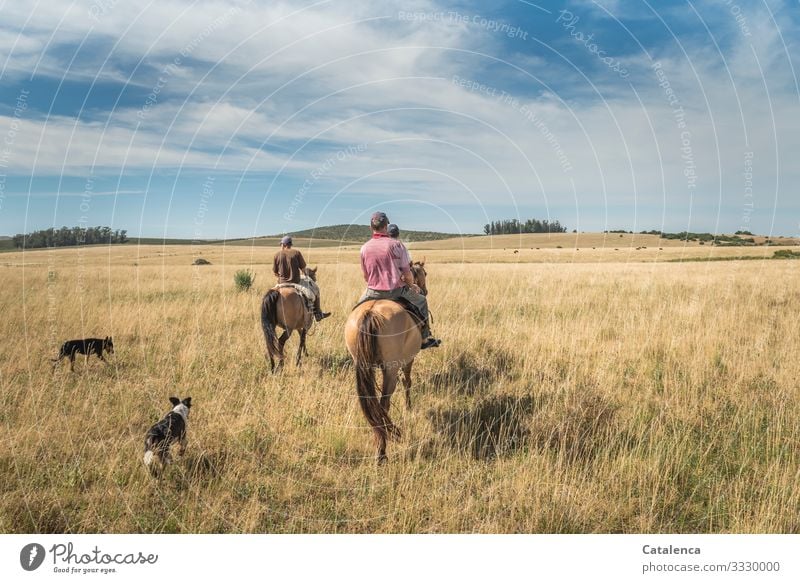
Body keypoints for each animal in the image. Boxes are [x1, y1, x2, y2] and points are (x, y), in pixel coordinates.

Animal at [346, 260, 432, 466]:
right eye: (424, 273)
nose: (424, 290)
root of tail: (370, 313)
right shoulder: (408, 359)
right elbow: (407, 381)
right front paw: (409, 406)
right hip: (390, 370)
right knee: (383, 404)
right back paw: (382, 453)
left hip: (362, 364)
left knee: (373, 406)